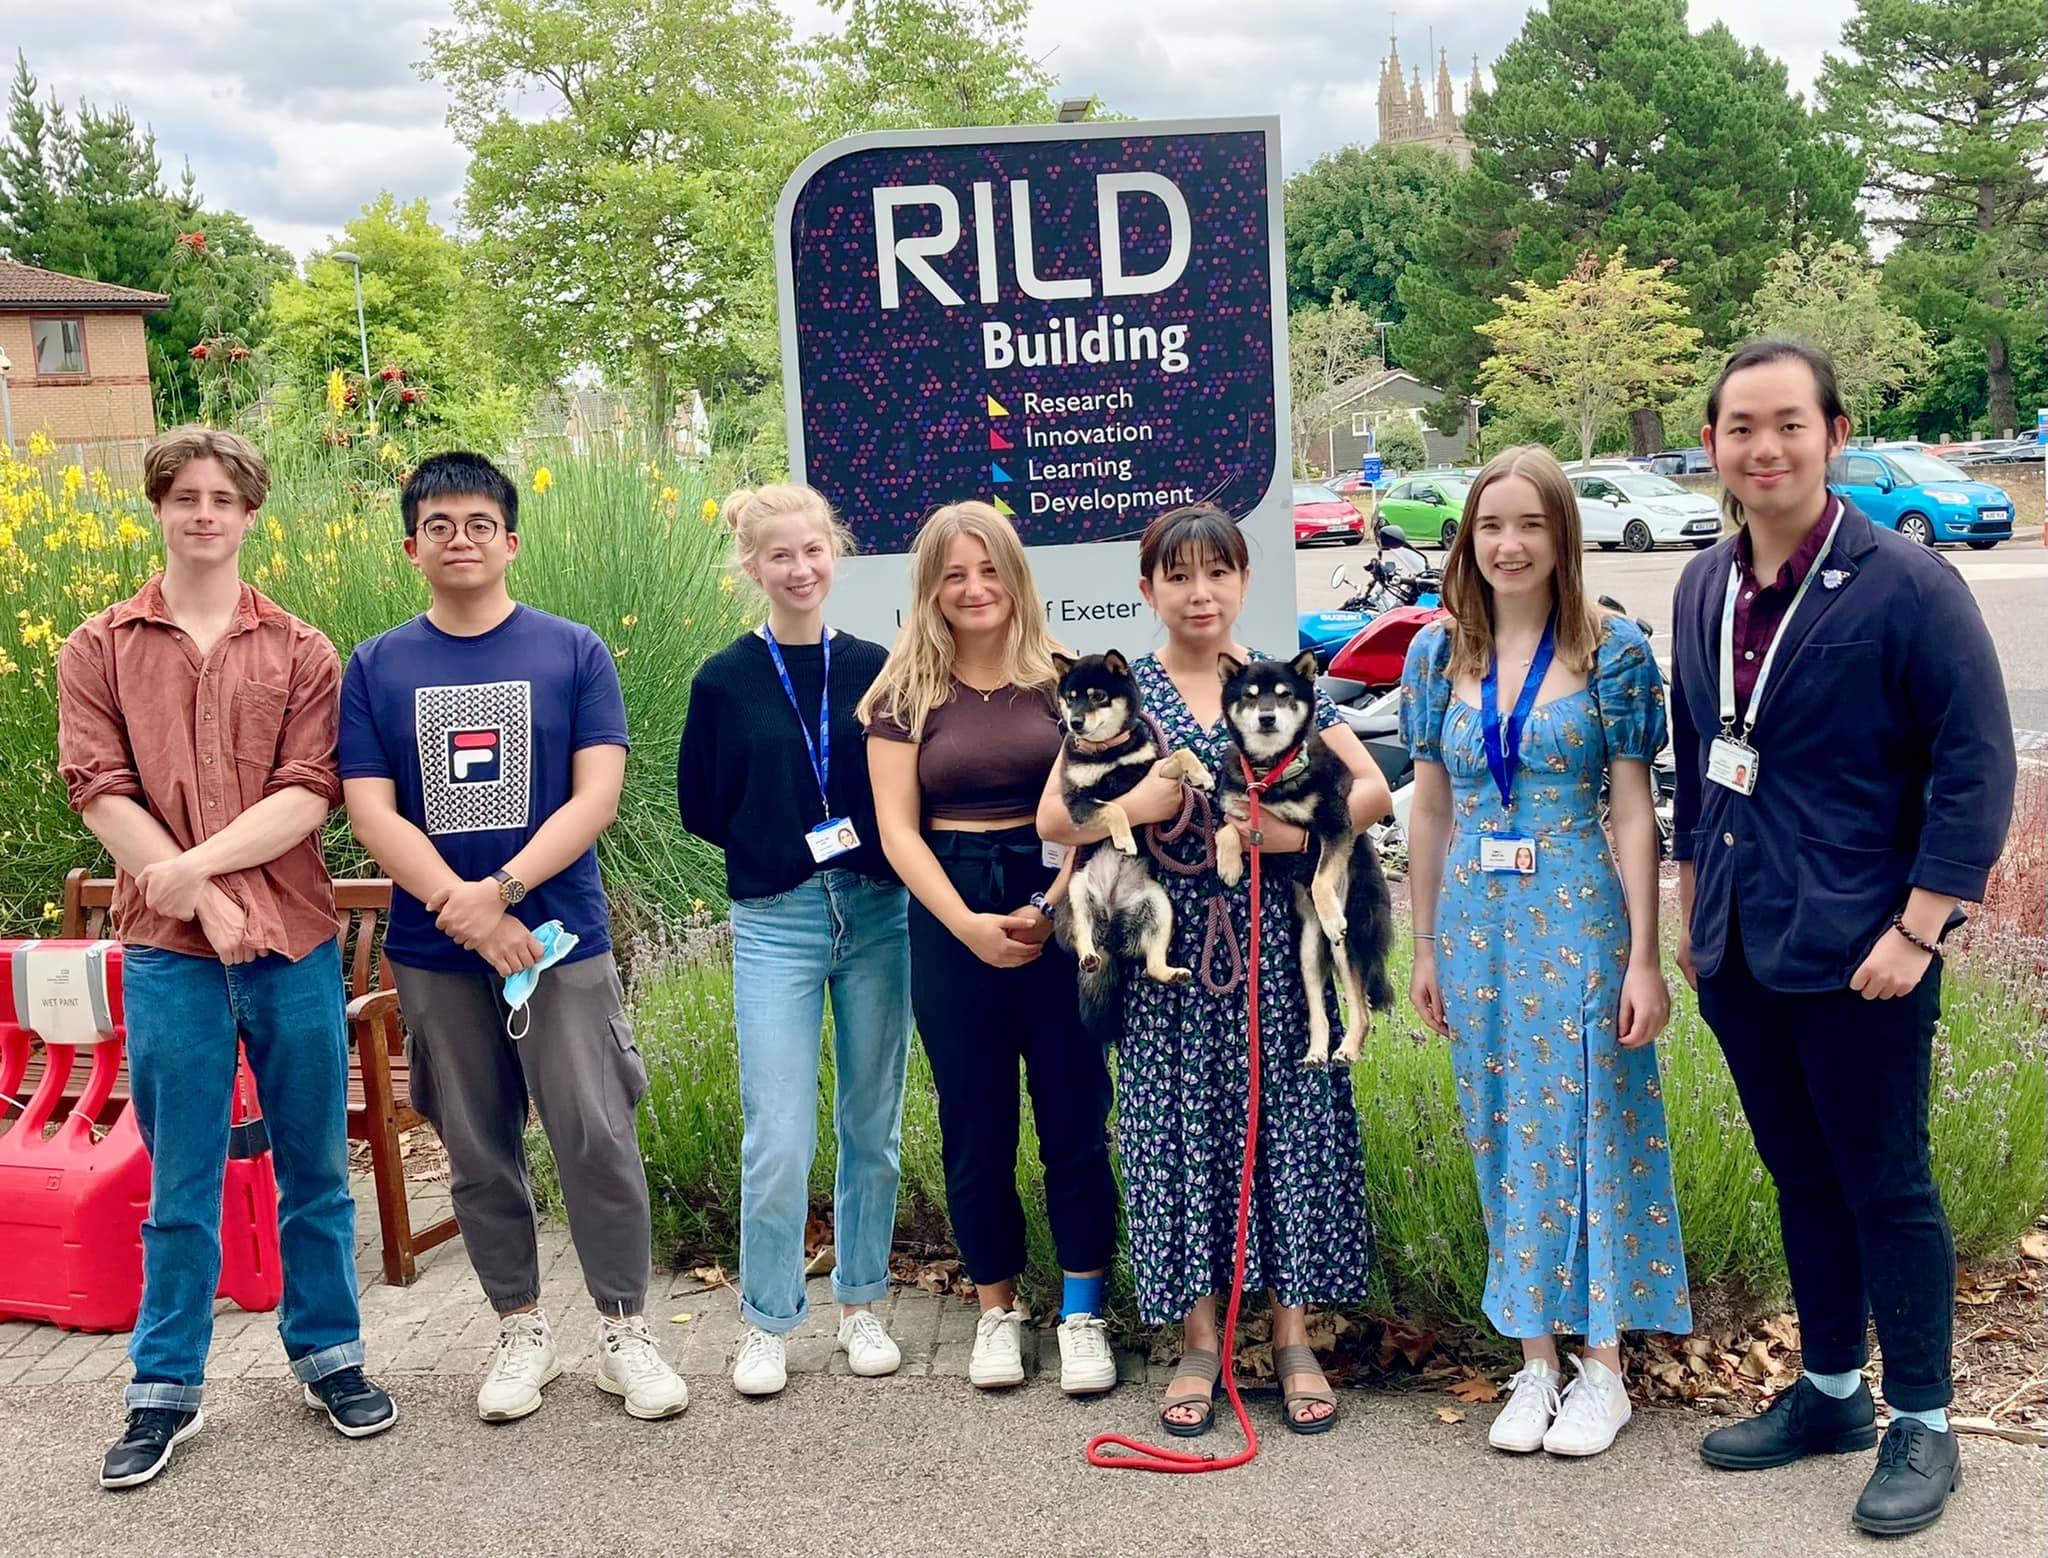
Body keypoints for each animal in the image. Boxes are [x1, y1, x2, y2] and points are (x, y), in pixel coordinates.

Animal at [1056, 651, 1212, 1027]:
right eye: (1070, 698)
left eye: (1097, 695)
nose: (1075, 723)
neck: (1108, 753)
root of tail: (1111, 934)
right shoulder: (1078, 803)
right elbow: (1114, 808)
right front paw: (1125, 839)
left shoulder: (1153, 769)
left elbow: (1181, 754)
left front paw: (1200, 775)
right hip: (1078, 892)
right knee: (1082, 937)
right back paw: (1088, 956)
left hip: (1160, 909)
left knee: (1153, 965)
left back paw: (1173, 974)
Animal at [1212, 651, 1392, 1064]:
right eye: (1249, 696)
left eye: (1284, 695)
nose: (1267, 718)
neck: (1270, 775)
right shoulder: (1241, 812)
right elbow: (1224, 830)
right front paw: (1228, 864)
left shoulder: (1336, 825)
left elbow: (1322, 877)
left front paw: (1330, 911)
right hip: (1308, 953)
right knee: (1317, 1010)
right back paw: (1316, 1052)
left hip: (1347, 946)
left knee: (1361, 1007)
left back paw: (1348, 1049)